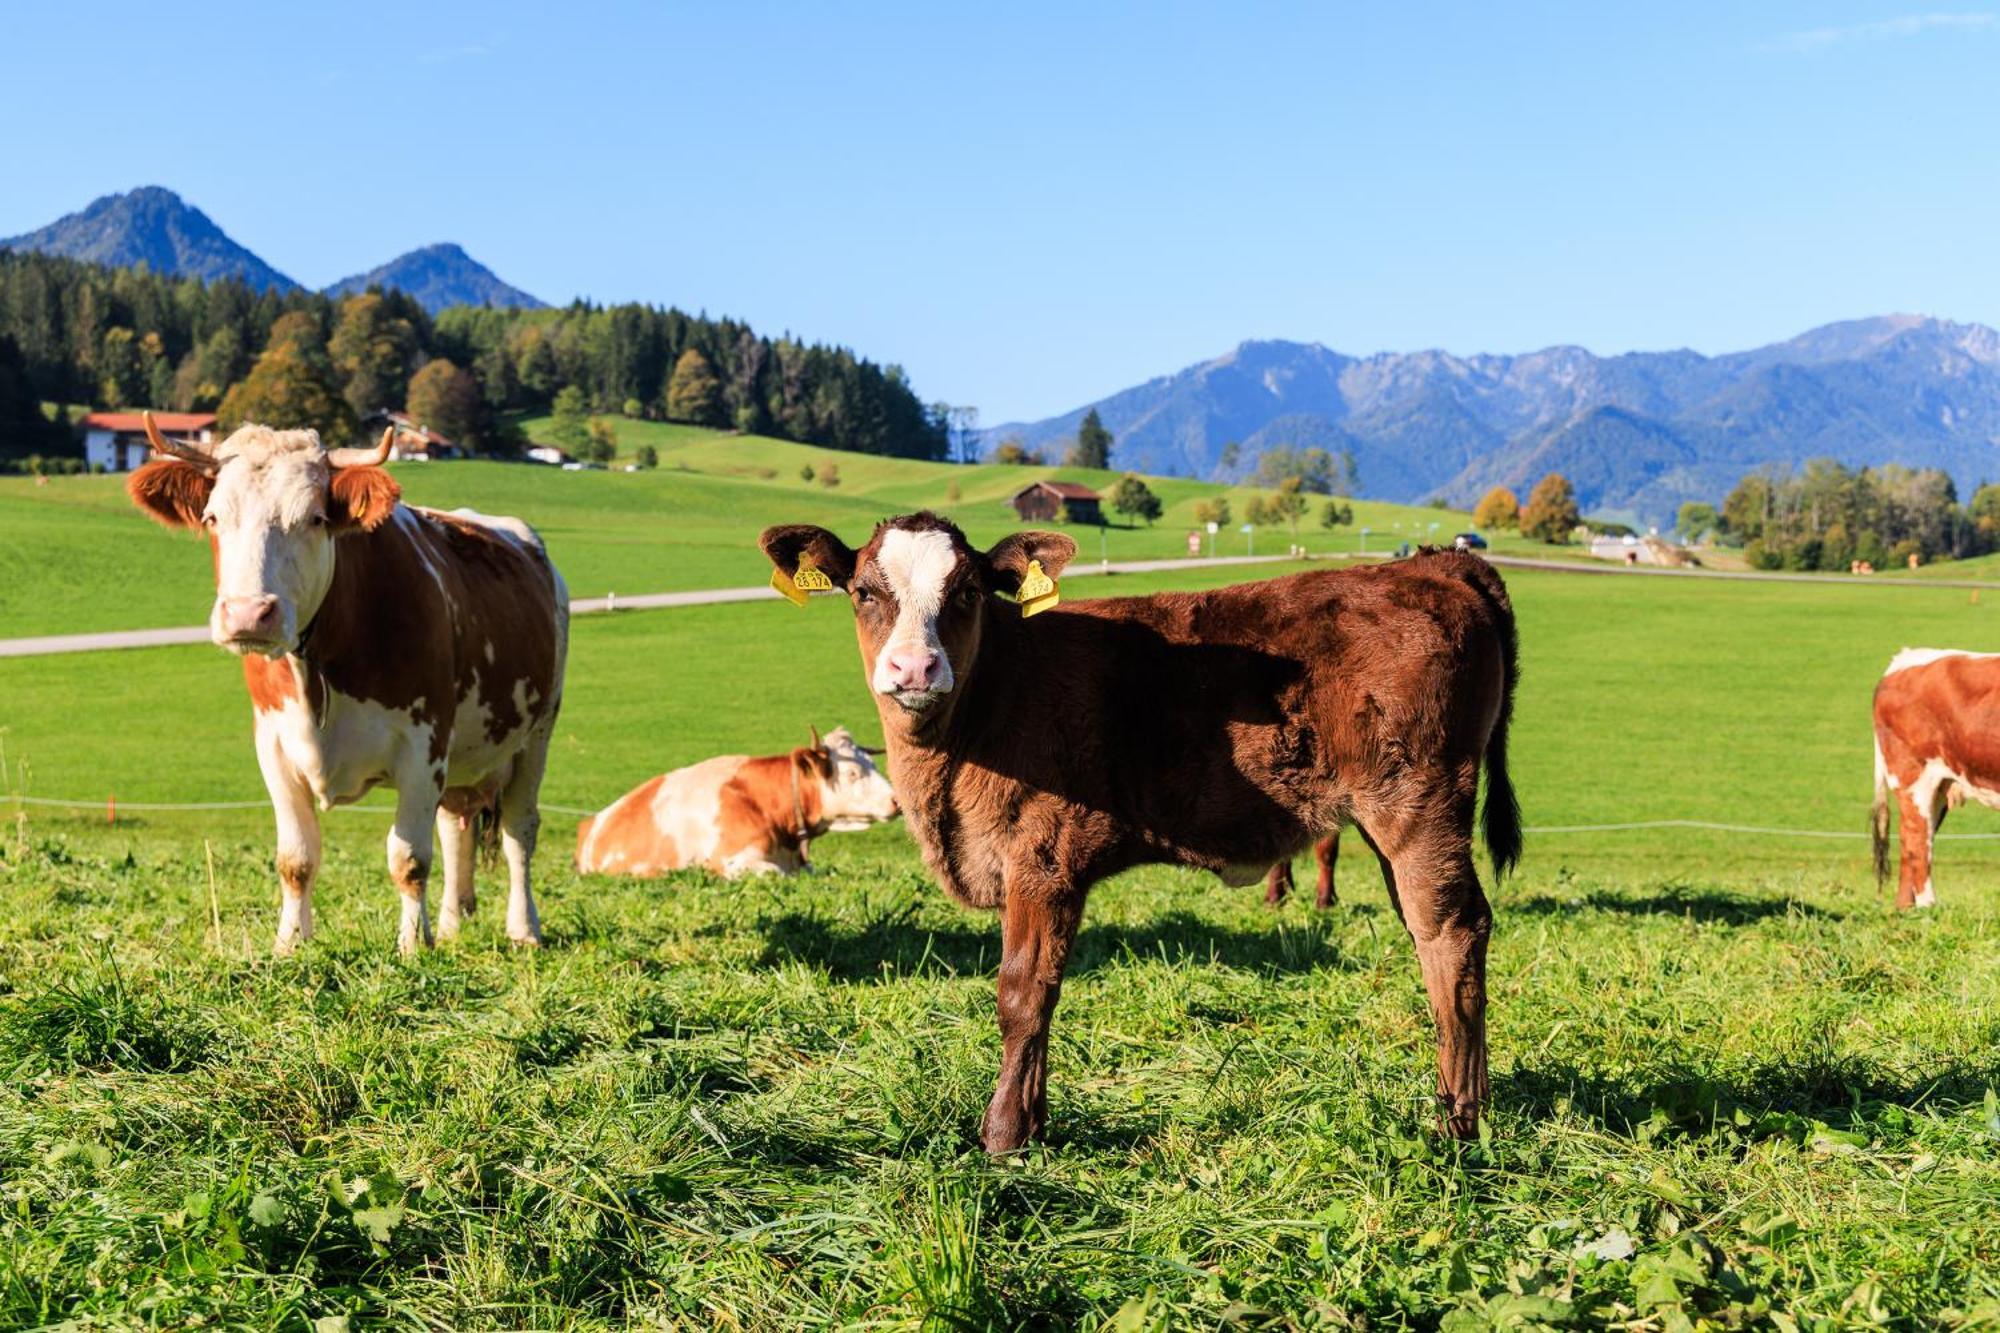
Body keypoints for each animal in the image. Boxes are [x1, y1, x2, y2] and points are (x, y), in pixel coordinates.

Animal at [572, 720, 900, 876]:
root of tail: (592, 822)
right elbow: (777, 874)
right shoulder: (730, 861)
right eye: (853, 773)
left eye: (872, 764)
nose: (897, 801)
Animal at [756, 512, 1520, 1144]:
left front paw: (1002, 1135)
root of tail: (1432, 566)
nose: (914, 667)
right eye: (863, 591)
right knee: (1429, 933)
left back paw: (1458, 1122)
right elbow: (1048, 985)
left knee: (1452, 931)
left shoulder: (1043, 859)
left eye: (968, 592)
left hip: (1418, 803)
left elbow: (1022, 991)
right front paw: (1034, 1122)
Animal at [1864, 644, 2000, 904]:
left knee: (1912, 840)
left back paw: (1906, 908)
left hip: (1940, 785)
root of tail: (1905, 658)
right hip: (1913, 774)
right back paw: (1929, 905)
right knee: (1917, 840)